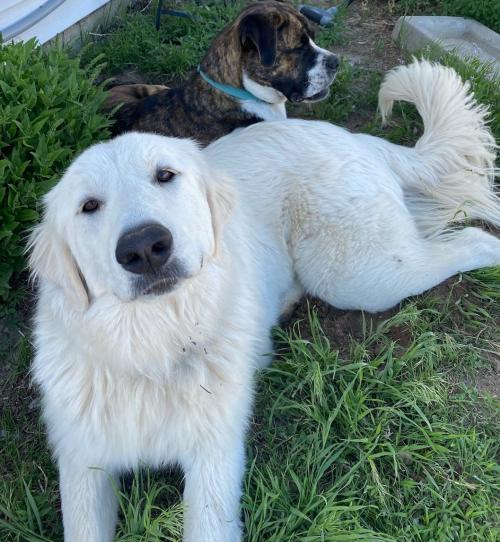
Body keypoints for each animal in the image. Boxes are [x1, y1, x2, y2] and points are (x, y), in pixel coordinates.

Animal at [30, 61, 500, 540]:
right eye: (88, 206)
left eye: (165, 175)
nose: (144, 247)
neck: (154, 347)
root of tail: (355, 137)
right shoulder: (83, 464)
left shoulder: (214, 458)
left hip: (359, 276)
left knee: (475, 238)